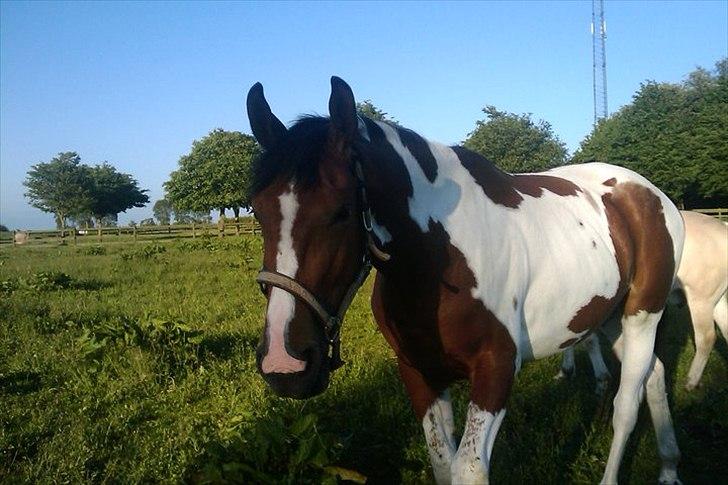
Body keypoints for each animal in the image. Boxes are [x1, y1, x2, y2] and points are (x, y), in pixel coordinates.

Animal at [247, 77, 684, 482]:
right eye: (258, 210)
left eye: (341, 211)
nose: (284, 363)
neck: (440, 258)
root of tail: (653, 195)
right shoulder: (420, 372)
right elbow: (443, 463)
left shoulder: (496, 369)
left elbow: (468, 469)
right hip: (610, 319)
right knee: (655, 376)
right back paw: (668, 467)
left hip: (642, 317)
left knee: (626, 405)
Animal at [564, 210, 728, 392]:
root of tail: (722, 226)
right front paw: (567, 369)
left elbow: (589, 341)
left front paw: (600, 379)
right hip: (716, 299)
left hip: (701, 299)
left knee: (707, 337)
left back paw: (691, 380)